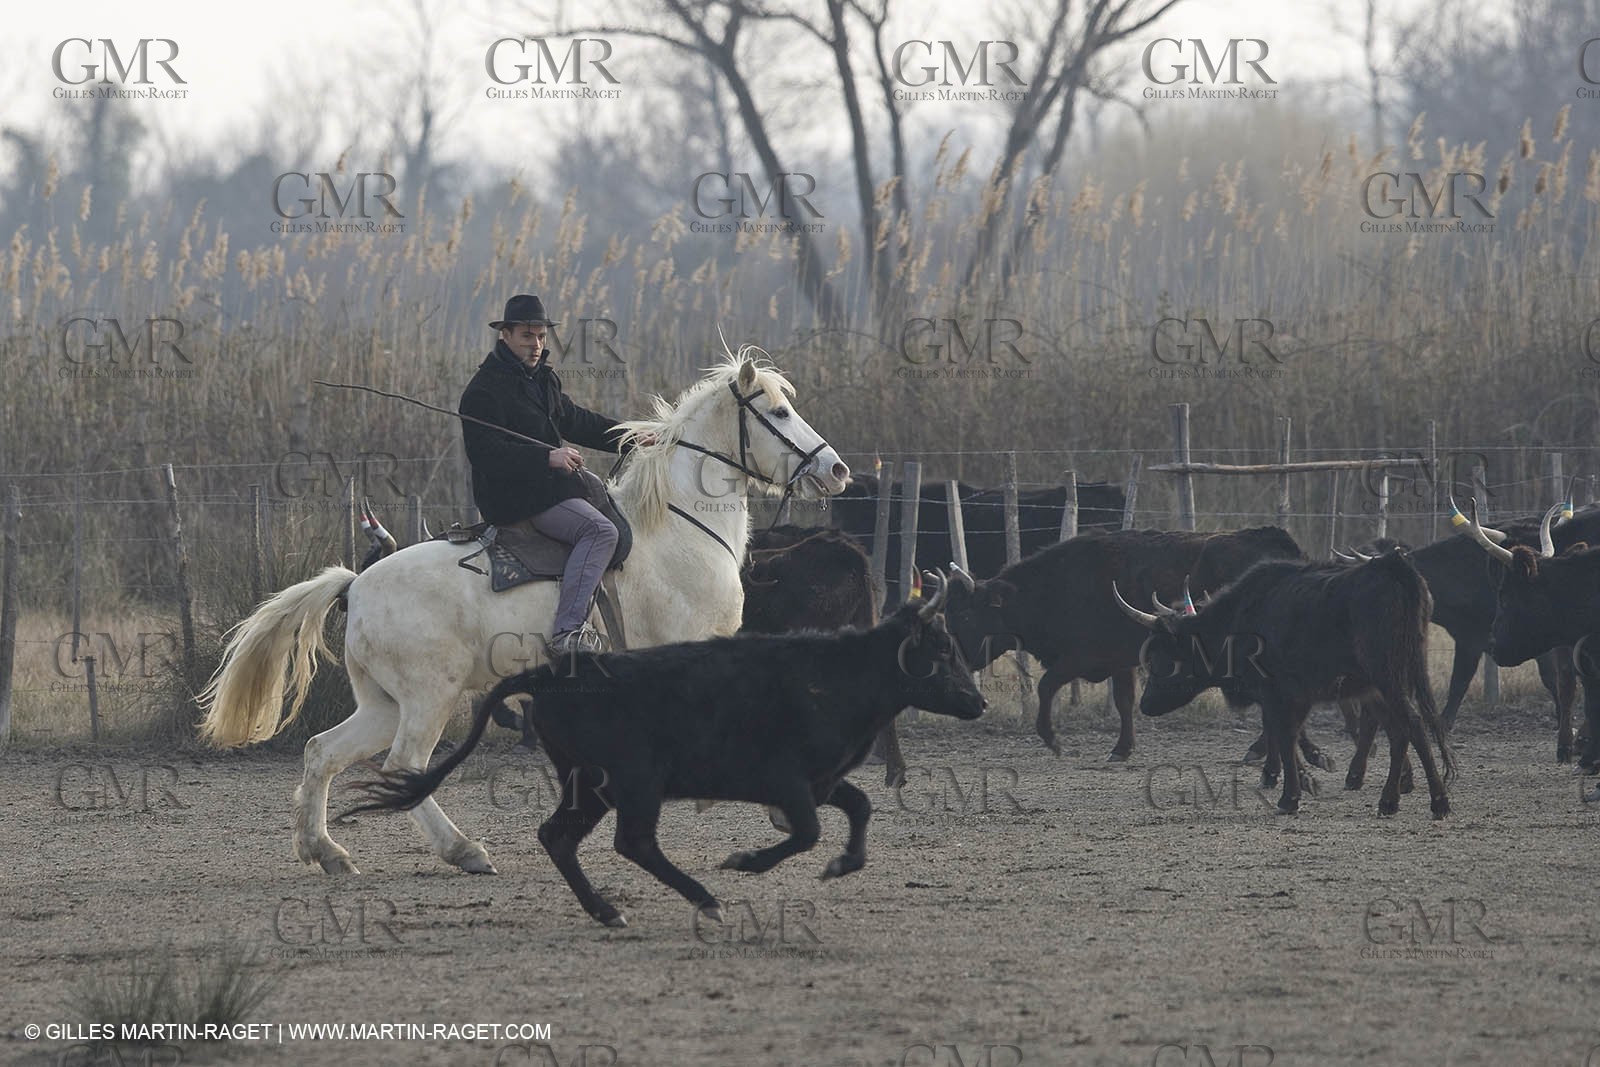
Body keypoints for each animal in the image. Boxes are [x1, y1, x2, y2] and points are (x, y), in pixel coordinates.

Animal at [349, 572, 985, 929]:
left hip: (589, 784)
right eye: (942, 648)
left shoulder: (822, 781)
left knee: (559, 836)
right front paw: (745, 862)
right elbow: (806, 832)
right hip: (632, 780)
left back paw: (607, 911)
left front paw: (840, 866)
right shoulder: (787, 782)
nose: (978, 701)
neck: (833, 677)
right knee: (632, 842)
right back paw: (704, 899)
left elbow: (860, 808)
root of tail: (553, 675)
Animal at [940, 526, 1330, 765]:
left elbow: (1047, 685)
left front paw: (1052, 739)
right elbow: (1124, 701)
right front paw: (1122, 748)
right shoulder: (1119, 660)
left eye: (966, 616)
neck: (1057, 586)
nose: (954, 660)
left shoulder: (1081, 657)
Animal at [1115, 550, 1454, 819]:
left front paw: (1290, 794)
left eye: (1159, 655)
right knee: (1398, 730)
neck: (1240, 618)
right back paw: (1390, 799)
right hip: (1384, 684)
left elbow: (1283, 733)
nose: (1145, 705)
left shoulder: (1276, 693)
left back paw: (1437, 801)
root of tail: (1394, 568)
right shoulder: (1291, 696)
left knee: (1412, 724)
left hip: (1389, 678)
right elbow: (1286, 734)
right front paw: (1300, 777)